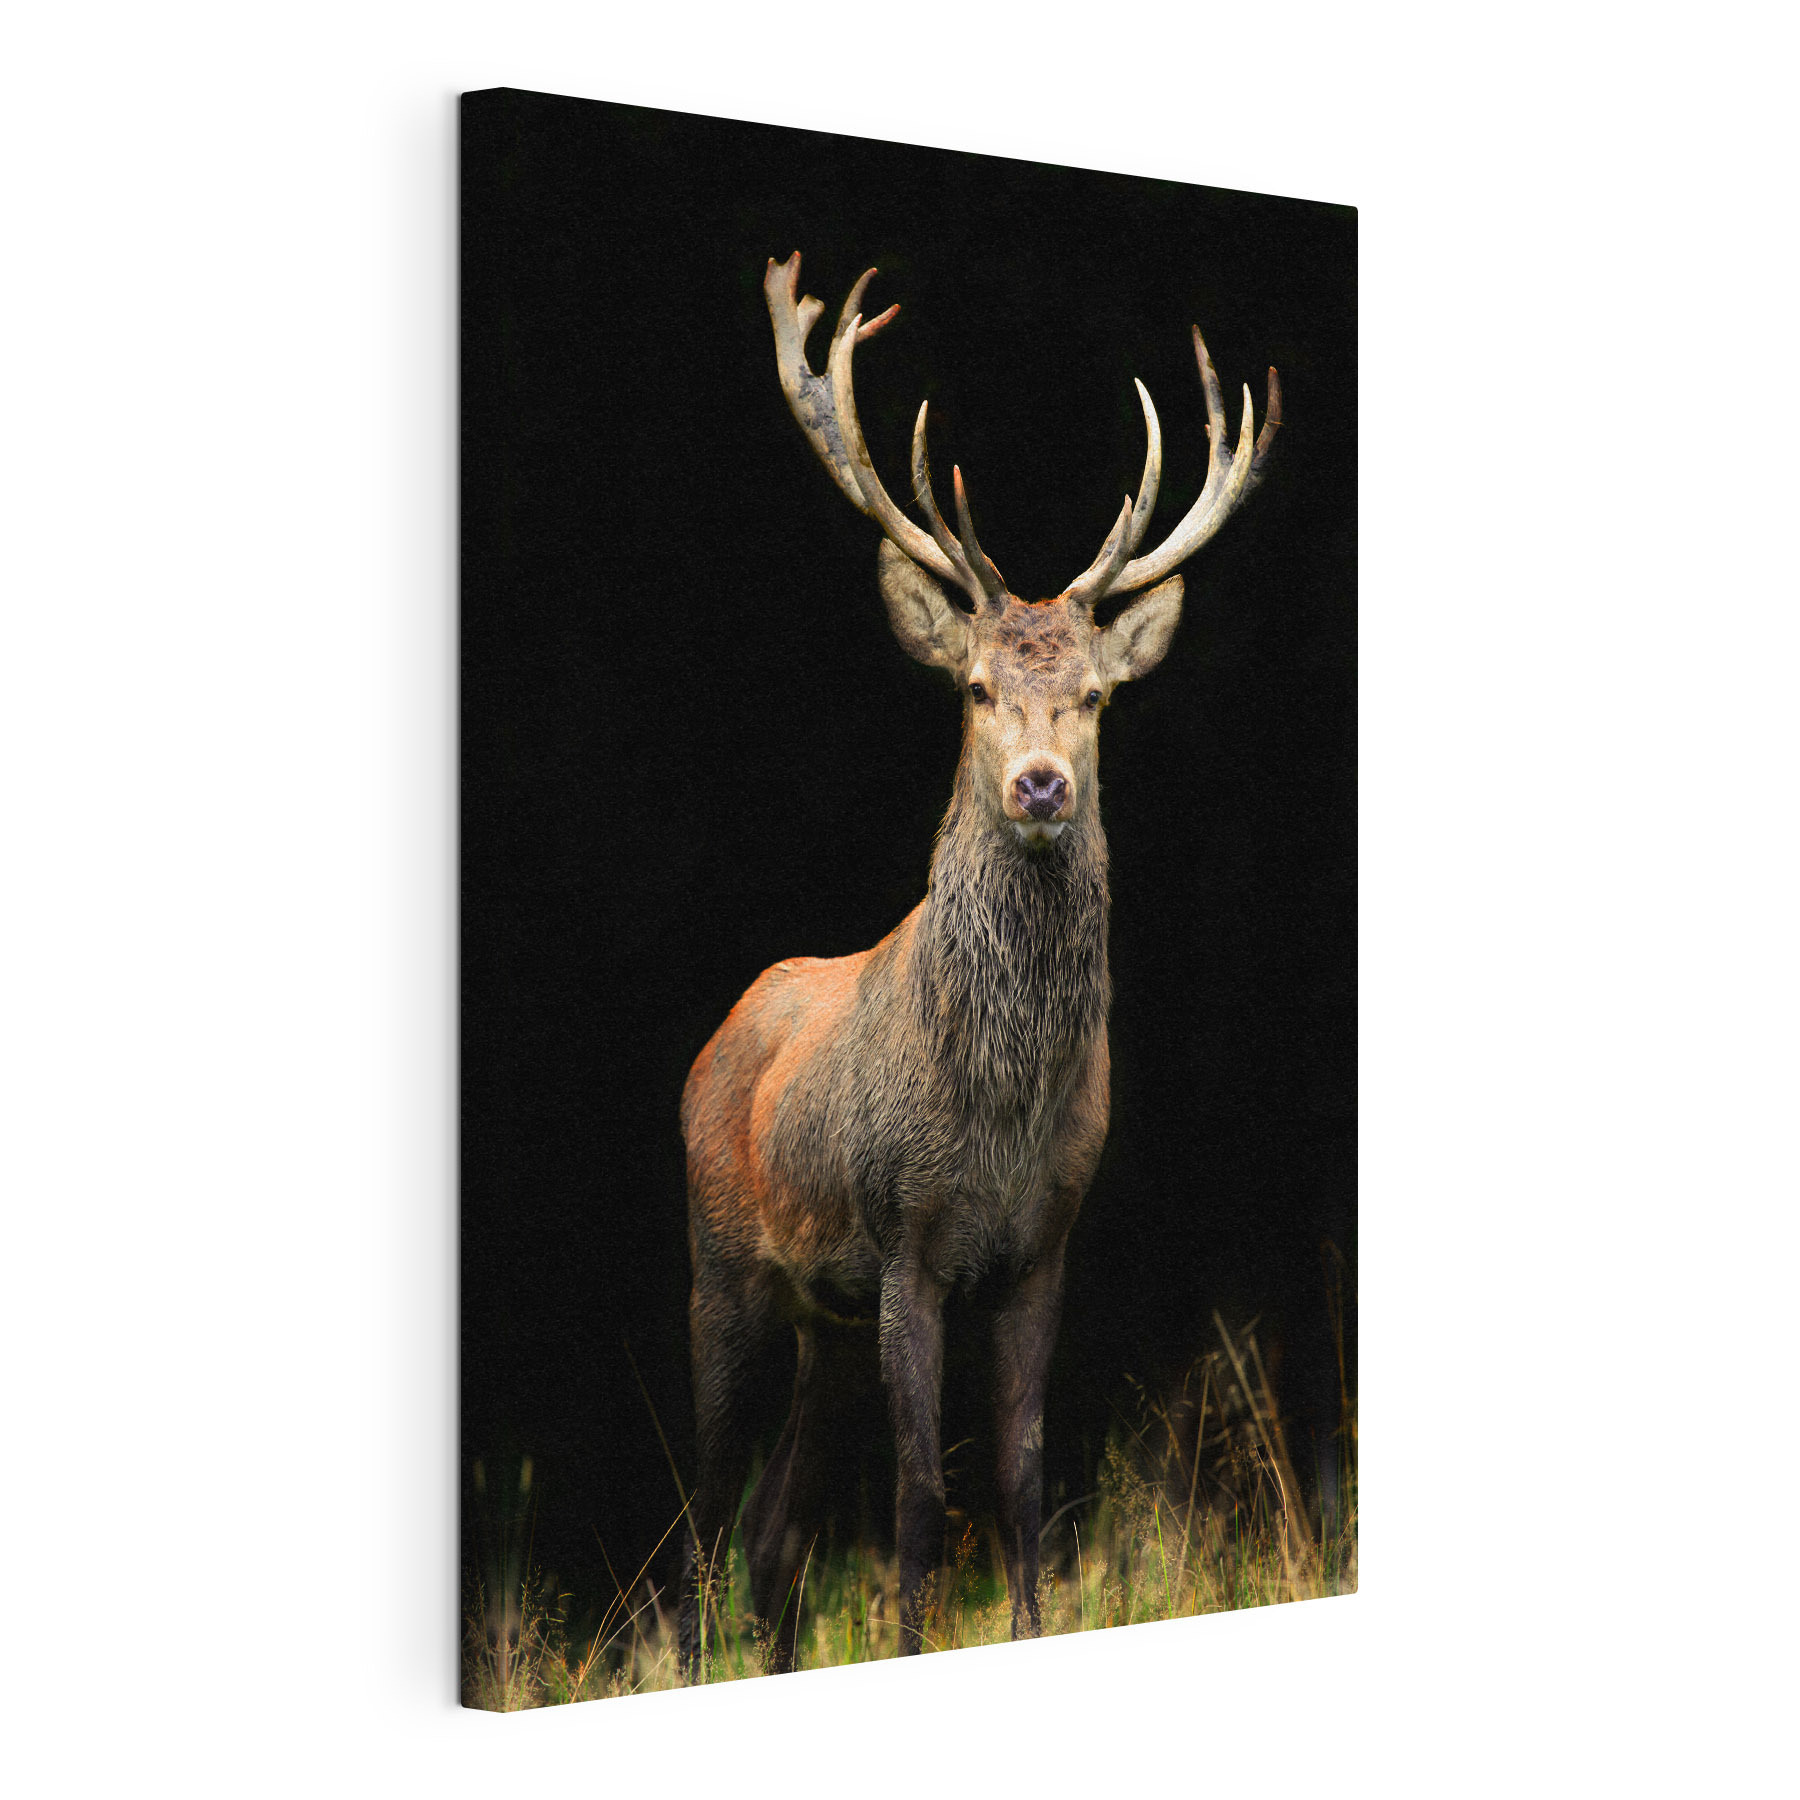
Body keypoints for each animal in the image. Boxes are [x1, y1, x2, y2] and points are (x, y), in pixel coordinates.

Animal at [677, 251, 1279, 1676]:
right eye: (974, 689)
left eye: (1098, 697)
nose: (1042, 784)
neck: (994, 1114)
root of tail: (715, 1041)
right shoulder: (907, 1235)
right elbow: (917, 1495)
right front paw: (911, 1641)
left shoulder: (1044, 1243)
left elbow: (1016, 1479)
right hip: (724, 1264)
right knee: (706, 1513)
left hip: (824, 1321)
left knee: (775, 1534)